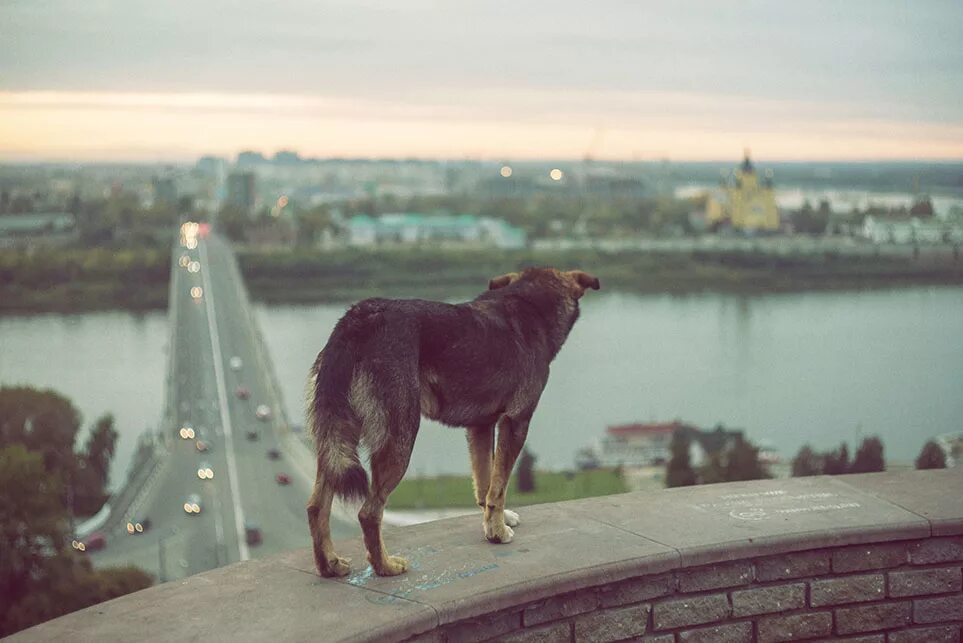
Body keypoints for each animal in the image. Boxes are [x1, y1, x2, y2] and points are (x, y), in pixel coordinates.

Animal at [306, 266, 600, 580]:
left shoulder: (480, 427)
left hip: (336, 438)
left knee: (316, 507)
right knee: (369, 512)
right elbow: (498, 486)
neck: (528, 304)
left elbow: (485, 483)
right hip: (398, 439)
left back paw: (329, 564)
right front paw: (498, 533)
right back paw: (385, 566)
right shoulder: (515, 422)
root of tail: (358, 318)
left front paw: (492, 525)